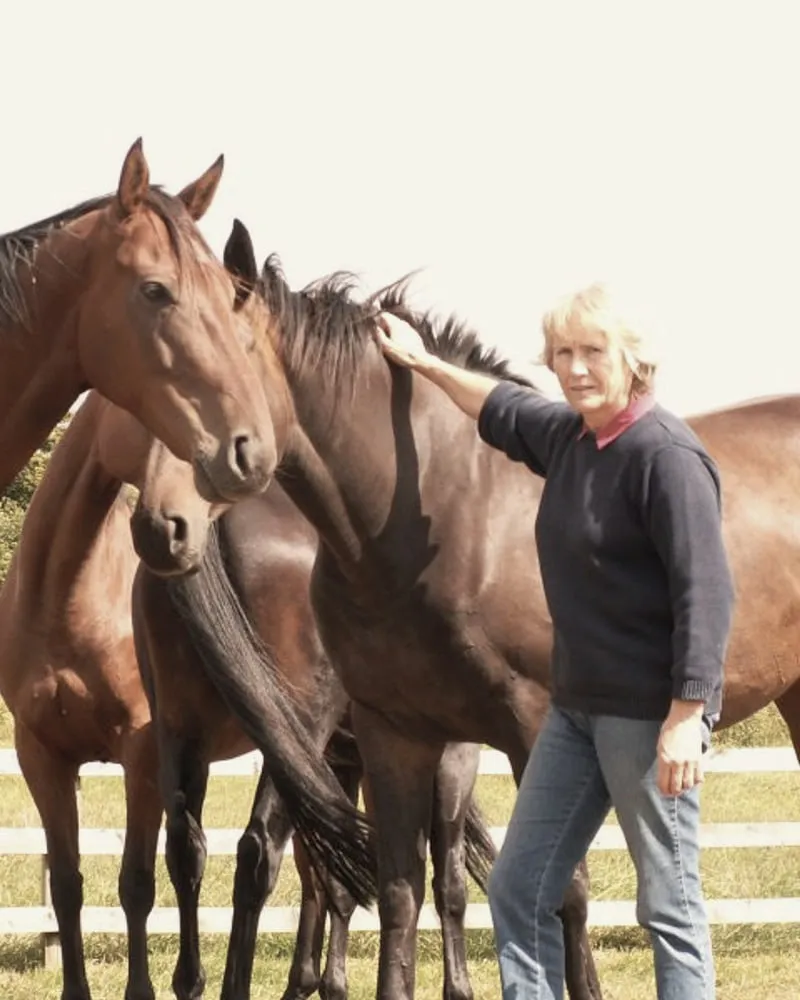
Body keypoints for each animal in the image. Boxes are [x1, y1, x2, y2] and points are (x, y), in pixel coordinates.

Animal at [137, 222, 601, 1000]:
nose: (161, 522)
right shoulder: (451, 747)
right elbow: (440, 876)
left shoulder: (369, 753)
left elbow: (350, 876)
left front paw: (321, 980)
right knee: (258, 850)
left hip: (186, 731)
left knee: (192, 849)